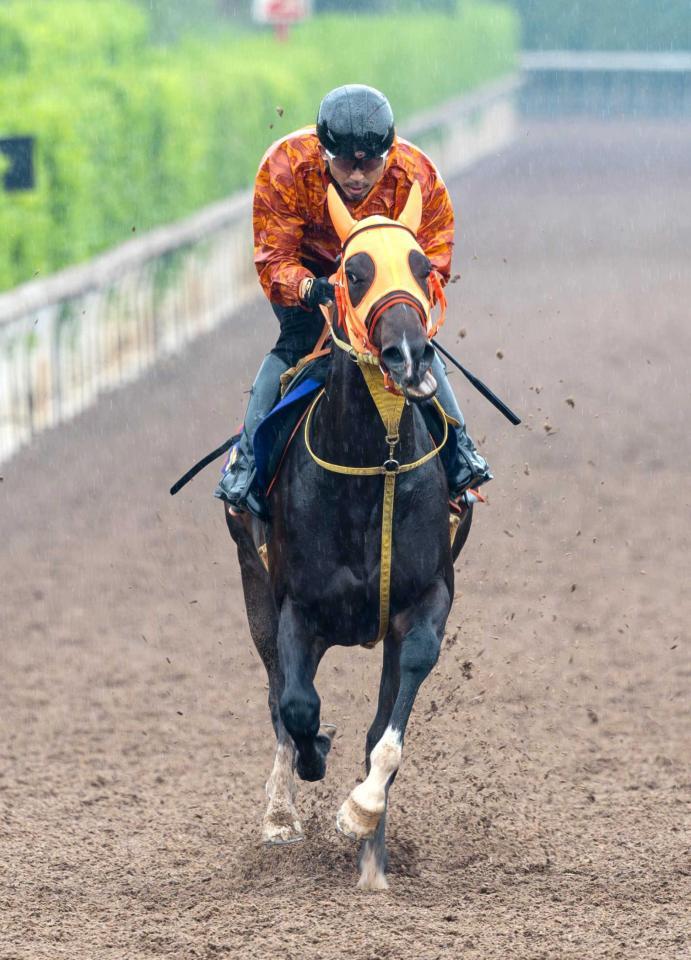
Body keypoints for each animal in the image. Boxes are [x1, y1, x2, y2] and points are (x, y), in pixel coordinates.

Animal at [224, 182, 474, 892]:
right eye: (352, 272)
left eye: (422, 264)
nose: (409, 355)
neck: (376, 462)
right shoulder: (295, 607)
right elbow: (298, 706)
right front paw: (302, 782)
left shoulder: (424, 601)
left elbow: (386, 729)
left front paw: (362, 820)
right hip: (252, 587)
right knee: (277, 694)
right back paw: (282, 810)